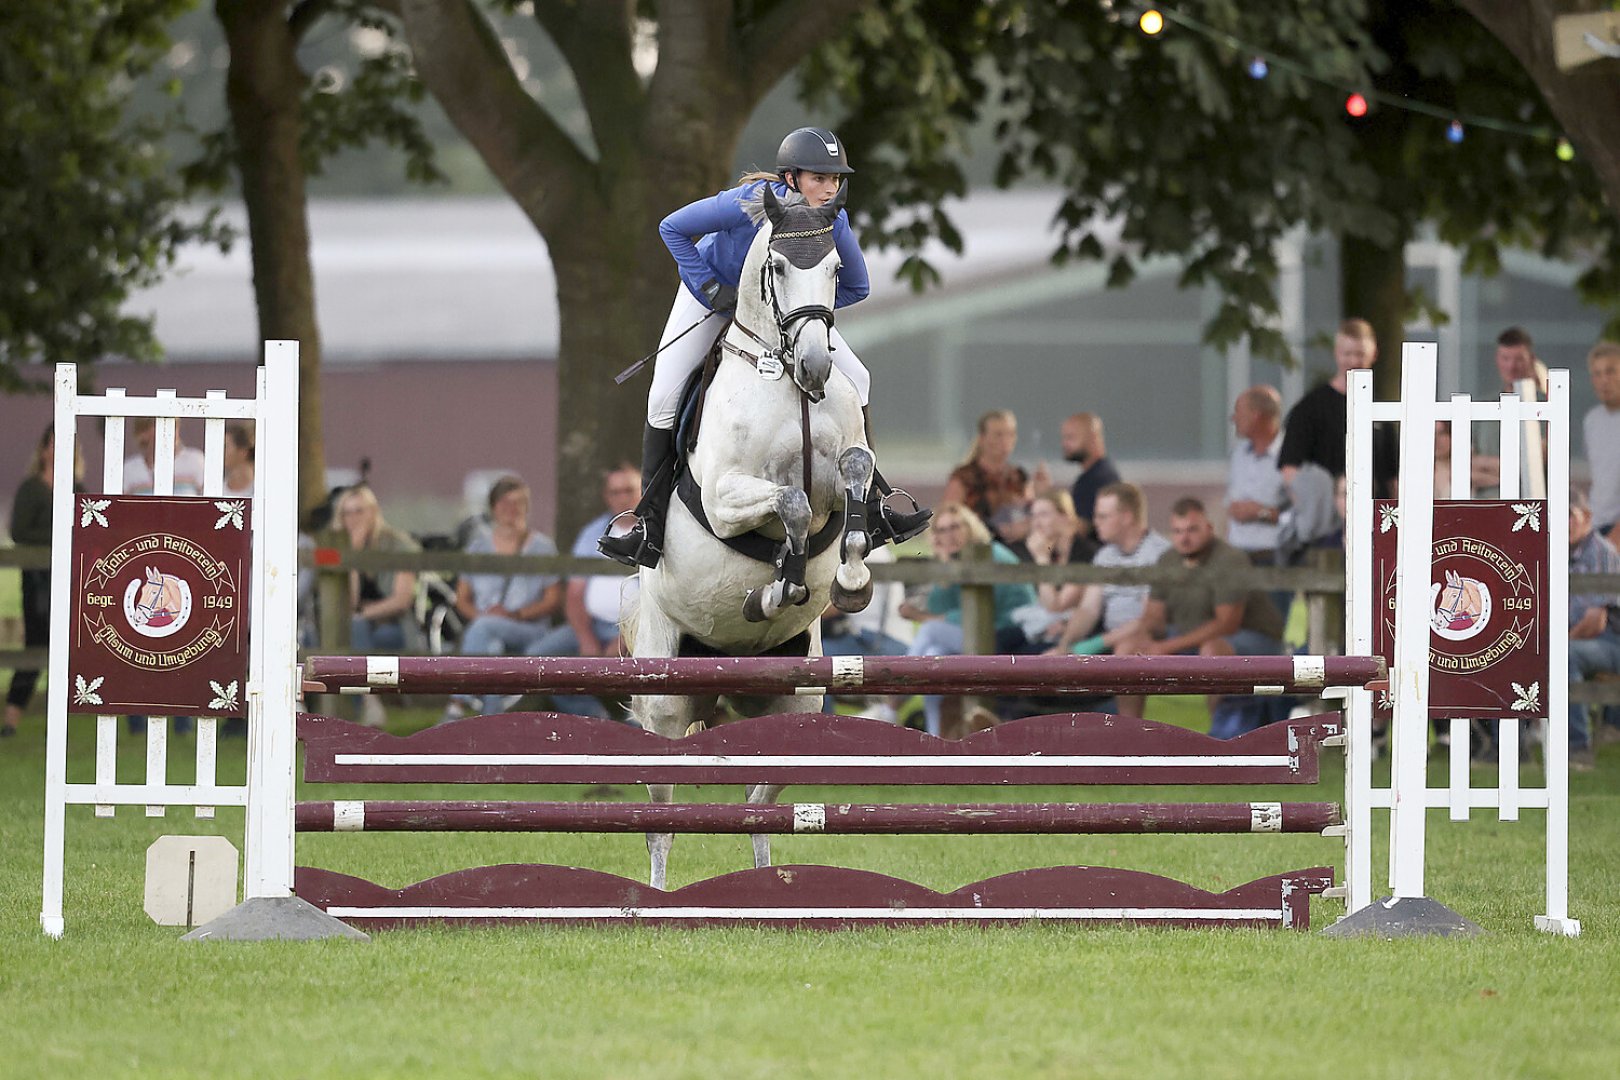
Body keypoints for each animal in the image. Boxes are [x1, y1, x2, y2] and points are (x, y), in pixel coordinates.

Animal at [631, 186, 881, 893]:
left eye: (835, 268)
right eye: (775, 264)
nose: (818, 364)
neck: (786, 381)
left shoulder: (842, 472)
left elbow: (852, 480)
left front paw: (848, 580)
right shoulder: (725, 497)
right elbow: (788, 502)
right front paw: (777, 588)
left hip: (793, 709)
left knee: (758, 808)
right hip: (665, 705)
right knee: (661, 819)